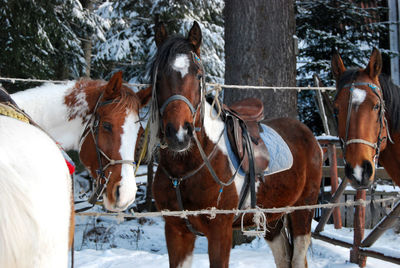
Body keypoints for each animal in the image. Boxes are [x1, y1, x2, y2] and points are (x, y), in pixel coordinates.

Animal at [148, 21, 324, 268]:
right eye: (159, 76)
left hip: (302, 211)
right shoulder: (176, 231)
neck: (186, 169)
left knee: (298, 259)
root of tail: (309, 135)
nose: (179, 134)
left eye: (198, 75)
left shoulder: (220, 232)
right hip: (272, 218)